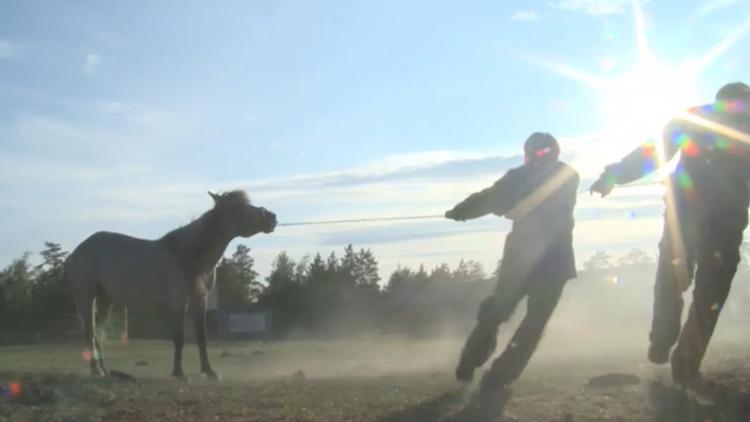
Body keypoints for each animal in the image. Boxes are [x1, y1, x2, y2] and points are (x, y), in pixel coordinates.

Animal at [66, 191, 278, 380]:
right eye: (237, 208)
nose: (271, 217)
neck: (187, 255)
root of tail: (79, 250)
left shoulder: (200, 300)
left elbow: (202, 337)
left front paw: (209, 372)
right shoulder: (179, 299)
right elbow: (179, 337)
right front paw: (179, 373)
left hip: (105, 298)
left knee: (98, 332)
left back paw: (104, 370)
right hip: (87, 296)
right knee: (90, 332)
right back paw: (96, 371)